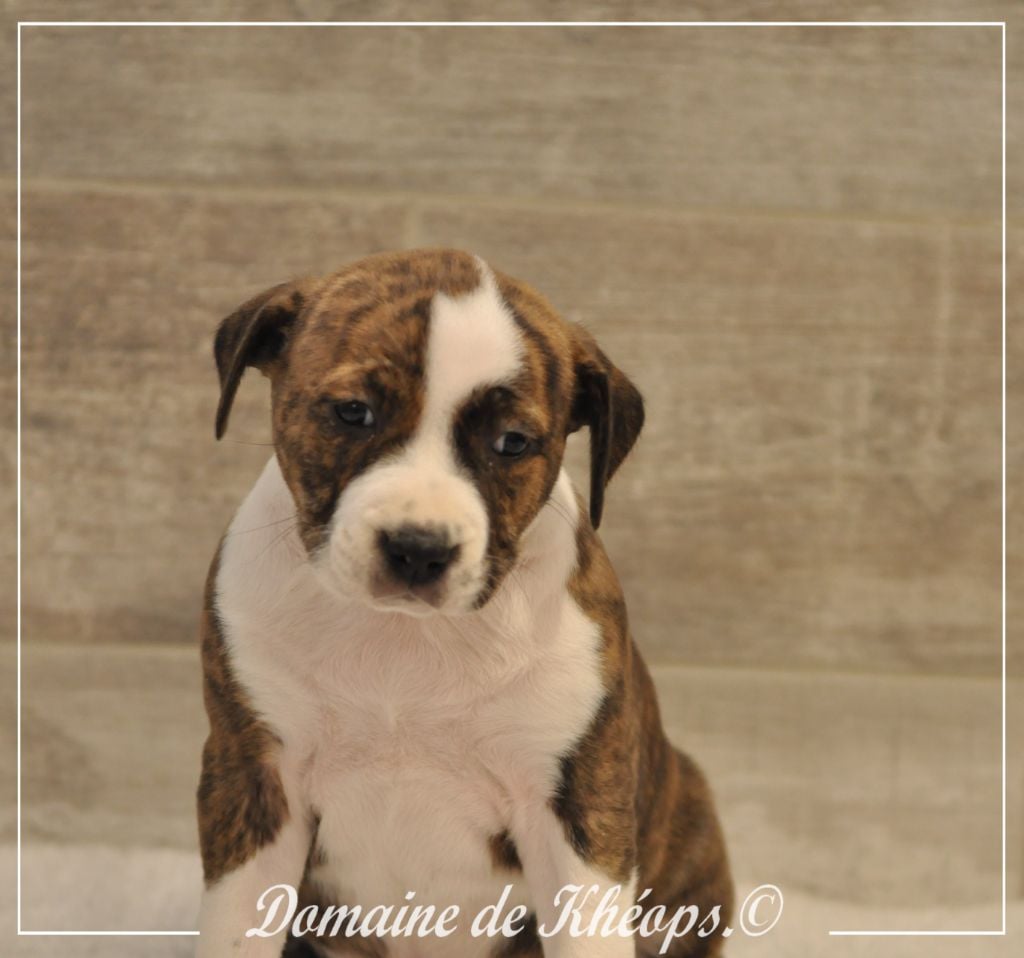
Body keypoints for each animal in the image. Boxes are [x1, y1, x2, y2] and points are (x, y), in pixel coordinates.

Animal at [196, 249, 732, 957]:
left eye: (512, 443)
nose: (419, 548)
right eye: (351, 412)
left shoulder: (576, 809)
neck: (405, 638)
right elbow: (235, 932)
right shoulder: (254, 779)